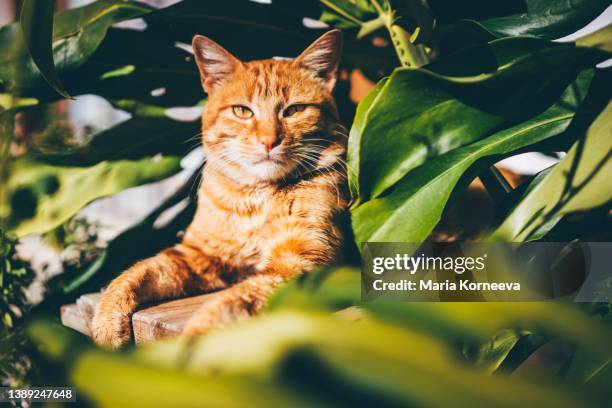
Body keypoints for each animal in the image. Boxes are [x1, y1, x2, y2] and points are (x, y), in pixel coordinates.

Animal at [92, 30, 346, 348]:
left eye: (294, 110)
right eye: (242, 111)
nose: (268, 141)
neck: (256, 199)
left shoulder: (301, 263)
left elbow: (234, 302)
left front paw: (196, 340)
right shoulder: (197, 256)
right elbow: (137, 271)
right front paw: (106, 321)